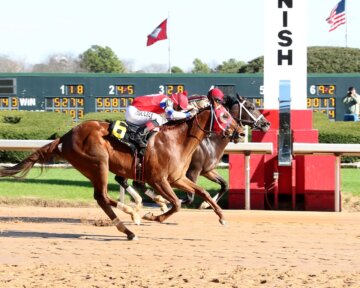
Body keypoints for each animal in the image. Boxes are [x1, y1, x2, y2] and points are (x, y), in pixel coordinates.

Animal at [0, 99, 245, 241]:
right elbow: (175, 203)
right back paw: (131, 222)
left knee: (103, 197)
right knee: (102, 196)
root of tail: (66, 136)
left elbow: (201, 192)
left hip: (95, 167)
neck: (177, 140)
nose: (241, 132)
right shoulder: (159, 180)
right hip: (98, 163)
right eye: (224, 115)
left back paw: (129, 222)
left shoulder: (177, 178)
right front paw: (152, 215)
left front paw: (222, 217)